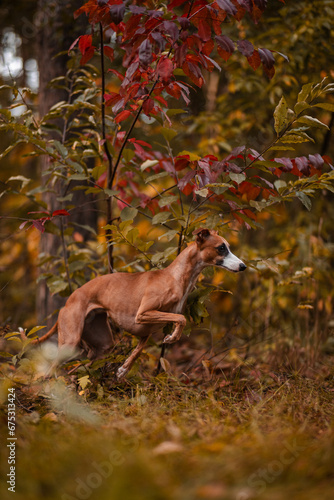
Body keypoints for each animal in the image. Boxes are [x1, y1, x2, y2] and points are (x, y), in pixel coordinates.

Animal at [30, 230, 245, 378]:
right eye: (221, 248)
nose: (243, 266)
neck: (175, 277)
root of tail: (68, 302)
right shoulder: (143, 313)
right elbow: (181, 318)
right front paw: (172, 337)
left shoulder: (145, 332)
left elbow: (137, 351)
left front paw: (123, 370)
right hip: (70, 341)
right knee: (51, 369)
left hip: (102, 345)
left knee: (78, 368)